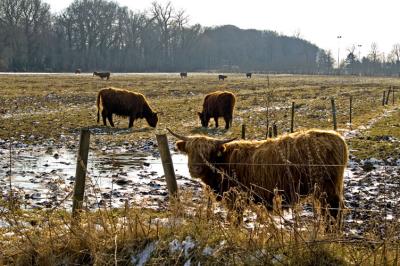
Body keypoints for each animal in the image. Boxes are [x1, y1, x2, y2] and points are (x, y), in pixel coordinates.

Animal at [167, 128, 348, 220]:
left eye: (208, 153)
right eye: (190, 151)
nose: (195, 169)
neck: (223, 163)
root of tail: (337, 137)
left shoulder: (235, 198)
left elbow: (235, 219)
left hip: (327, 189)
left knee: (333, 212)